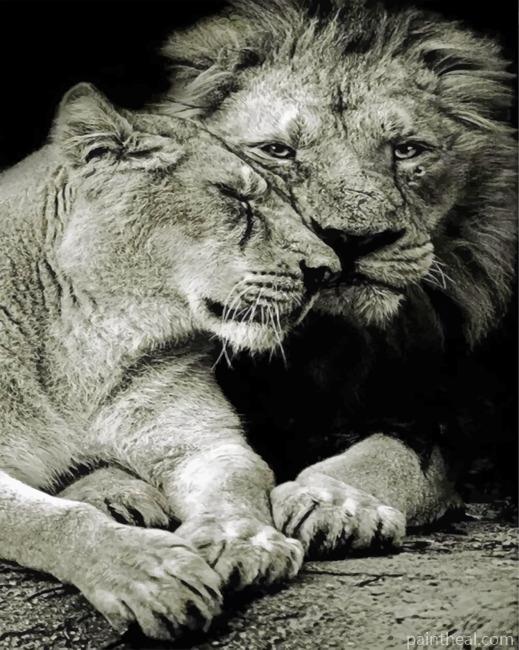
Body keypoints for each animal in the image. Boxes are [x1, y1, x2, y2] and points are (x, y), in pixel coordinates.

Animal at [0, 81, 347, 639]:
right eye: (235, 197)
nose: (328, 271)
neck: (88, 341)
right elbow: (52, 519)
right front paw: (149, 571)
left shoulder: (202, 441)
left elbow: (239, 482)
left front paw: (243, 540)